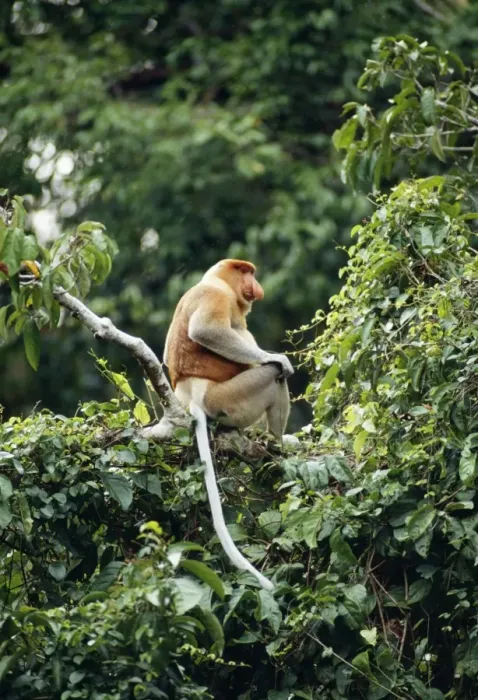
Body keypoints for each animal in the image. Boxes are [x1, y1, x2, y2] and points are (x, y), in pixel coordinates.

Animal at [163, 259, 294, 590]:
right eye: (246, 271)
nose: (255, 285)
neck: (214, 281)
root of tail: (191, 397)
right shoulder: (216, 295)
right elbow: (206, 330)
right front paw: (277, 357)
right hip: (227, 399)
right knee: (273, 376)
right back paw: (277, 445)